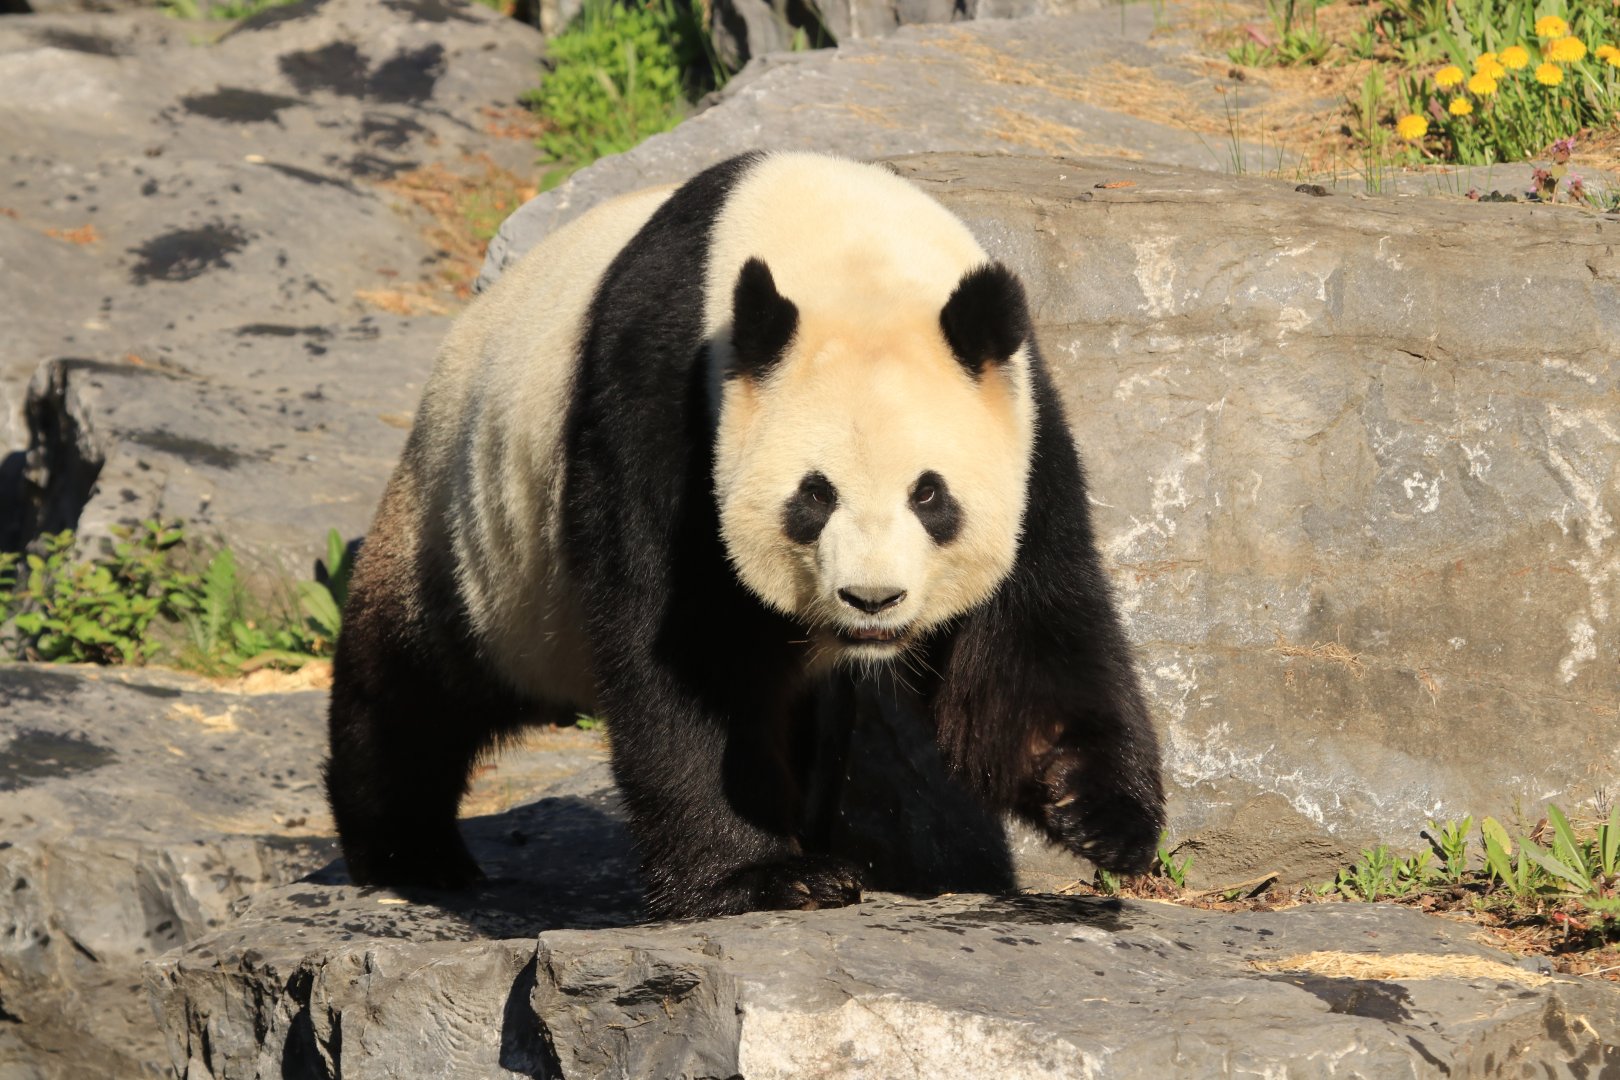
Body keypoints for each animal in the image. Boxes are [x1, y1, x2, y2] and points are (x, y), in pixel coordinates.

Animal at [325, 151, 1166, 920]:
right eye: (814, 496)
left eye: (930, 496)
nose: (872, 600)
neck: (848, 247)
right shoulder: (663, 397)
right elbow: (685, 653)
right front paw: (761, 876)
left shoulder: (1025, 423)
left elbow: (1026, 633)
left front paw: (1096, 811)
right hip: (477, 531)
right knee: (418, 680)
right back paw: (407, 849)